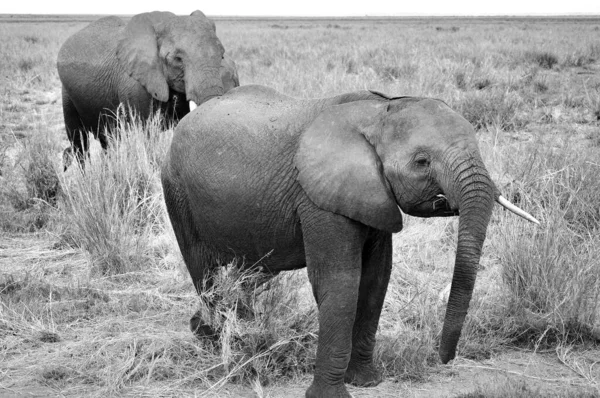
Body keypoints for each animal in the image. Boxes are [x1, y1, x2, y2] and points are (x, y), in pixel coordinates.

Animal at [56, 10, 239, 169]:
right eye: (177, 59)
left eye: (221, 55)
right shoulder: (134, 84)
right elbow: (148, 132)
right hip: (67, 93)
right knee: (79, 141)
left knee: (108, 140)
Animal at [161, 85, 540, 398]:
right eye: (422, 161)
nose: (443, 358)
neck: (377, 112)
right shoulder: (317, 195)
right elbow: (340, 281)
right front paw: (330, 395)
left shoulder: (372, 194)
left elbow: (375, 280)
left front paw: (367, 382)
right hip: (176, 189)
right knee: (205, 270)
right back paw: (217, 345)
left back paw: (226, 329)